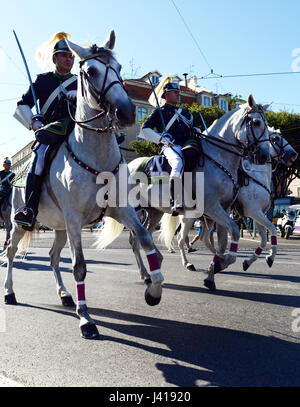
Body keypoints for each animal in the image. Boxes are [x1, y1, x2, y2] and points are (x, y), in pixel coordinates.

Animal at [0, 30, 164, 340]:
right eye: (89, 72)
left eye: (119, 68)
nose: (127, 112)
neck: (96, 157)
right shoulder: (76, 220)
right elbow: (79, 267)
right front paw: (86, 319)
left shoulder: (122, 211)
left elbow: (146, 240)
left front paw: (154, 288)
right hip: (19, 223)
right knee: (12, 253)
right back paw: (10, 292)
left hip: (60, 227)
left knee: (53, 257)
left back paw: (65, 295)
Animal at [126, 95, 270, 290]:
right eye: (256, 122)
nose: (264, 156)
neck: (217, 158)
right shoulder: (213, 207)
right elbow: (233, 232)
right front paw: (222, 263)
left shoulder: (223, 209)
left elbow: (223, 242)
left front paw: (213, 272)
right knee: (137, 239)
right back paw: (148, 273)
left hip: (154, 211)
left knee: (144, 236)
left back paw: (150, 270)